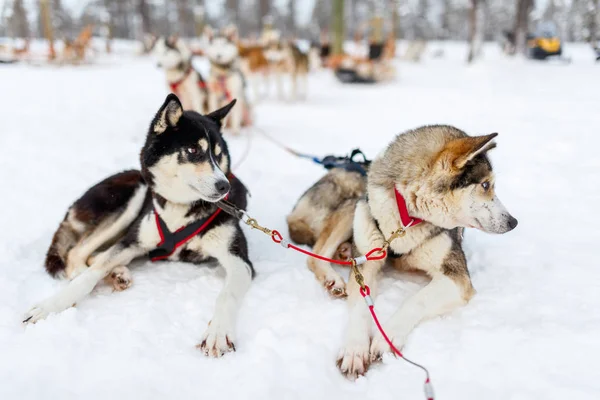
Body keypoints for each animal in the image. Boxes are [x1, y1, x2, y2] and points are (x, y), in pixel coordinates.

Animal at [22, 95, 253, 358]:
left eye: (218, 154)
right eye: (193, 150)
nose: (224, 186)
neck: (180, 208)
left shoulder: (238, 260)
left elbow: (226, 295)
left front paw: (218, 333)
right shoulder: (132, 241)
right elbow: (88, 276)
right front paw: (50, 306)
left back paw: (117, 273)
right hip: (135, 195)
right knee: (78, 254)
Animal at [288, 126, 516, 378]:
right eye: (485, 185)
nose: (513, 222)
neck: (406, 217)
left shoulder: (457, 278)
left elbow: (415, 300)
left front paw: (386, 338)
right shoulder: (368, 264)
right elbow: (359, 309)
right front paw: (355, 349)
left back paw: (344, 253)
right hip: (353, 205)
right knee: (315, 254)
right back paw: (333, 277)